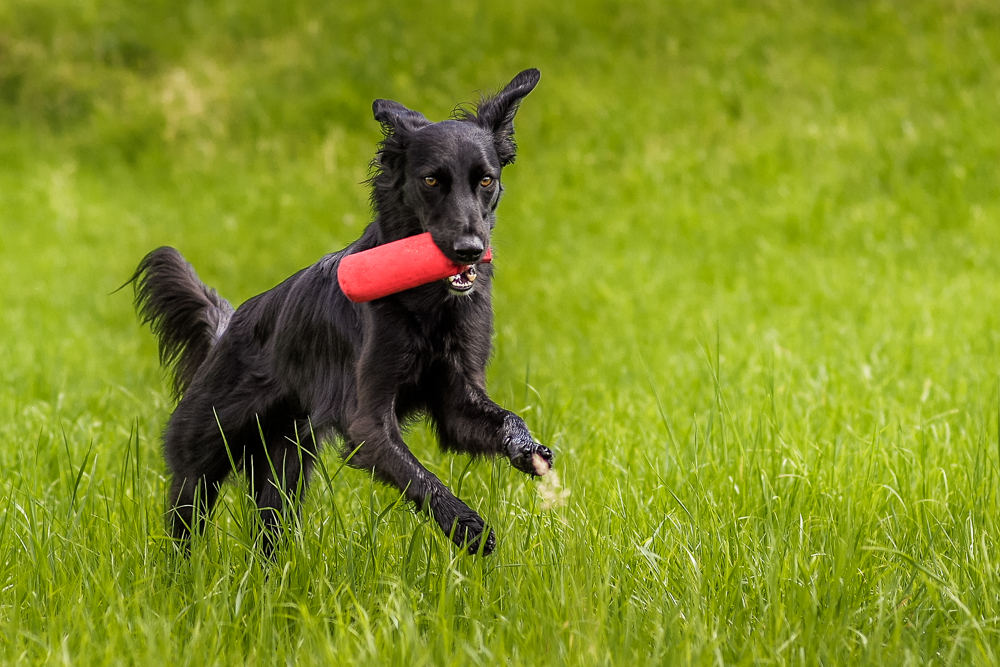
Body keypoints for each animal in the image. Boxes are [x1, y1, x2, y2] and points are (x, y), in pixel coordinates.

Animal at [130, 70, 552, 556]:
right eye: (431, 181)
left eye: (485, 181)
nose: (470, 249)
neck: (427, 303)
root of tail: (227, 329)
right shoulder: (366, 419)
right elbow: (418, 476)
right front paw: (466, 524)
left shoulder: (457, 401)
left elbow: (505, 418)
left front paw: (528, 450)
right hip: (203, 453)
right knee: (186, 517)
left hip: (285, 468)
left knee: (269, 532)